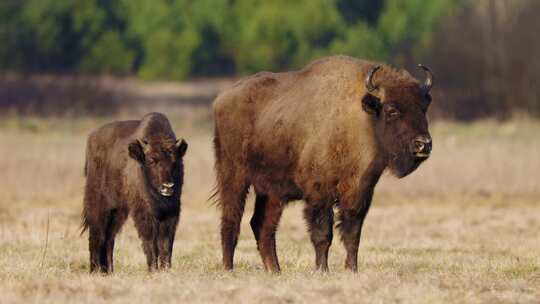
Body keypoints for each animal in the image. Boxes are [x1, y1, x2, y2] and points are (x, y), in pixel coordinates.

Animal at [80, 112, 188, 274]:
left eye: (175, 161)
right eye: (151, 160)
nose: (168, 186)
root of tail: (91, 138)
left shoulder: (171, 211)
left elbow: (165, 242)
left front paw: (166, 269)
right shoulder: (143, 212)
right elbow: (150, 240)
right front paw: (153, 269)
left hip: (119, 211)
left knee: (109, 237)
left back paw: (108, 270)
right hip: (99, 205)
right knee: (97, 234)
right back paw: (95, 270)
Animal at [213, 55, 432, 272]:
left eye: (423, 109)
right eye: (392, 110)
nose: (424, 144)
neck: (358, 119)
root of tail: (221, 100)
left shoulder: (359, 193)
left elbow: (353, 235)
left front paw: (351, 269)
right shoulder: (319, 193)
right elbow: (323, 234)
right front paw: (322, 270)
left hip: (271, 192)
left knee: (263, 225)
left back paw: (275, 270)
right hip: (234, 178)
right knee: (231, 220)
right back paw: (229, 268)